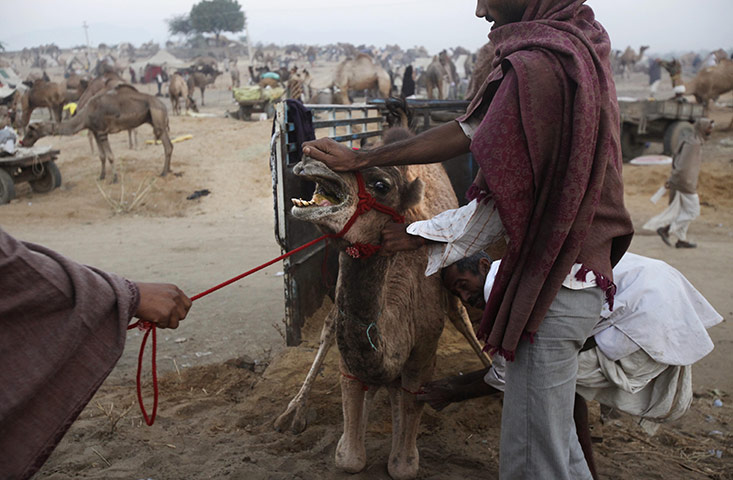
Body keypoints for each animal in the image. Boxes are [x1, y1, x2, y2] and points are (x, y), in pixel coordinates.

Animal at [21, 85, 173, 182]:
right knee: (170, 146)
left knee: (167, 146)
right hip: (155, 121)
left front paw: (115, 179)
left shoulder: (101, 132)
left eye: (30, 133)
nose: (23, 142)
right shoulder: (95, 132)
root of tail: (164, 105)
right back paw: (170, 170)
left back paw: (163, 173)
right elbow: (102, 156)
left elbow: (110, 156)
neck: (85, 117)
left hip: (158, 119)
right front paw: (101, 176)